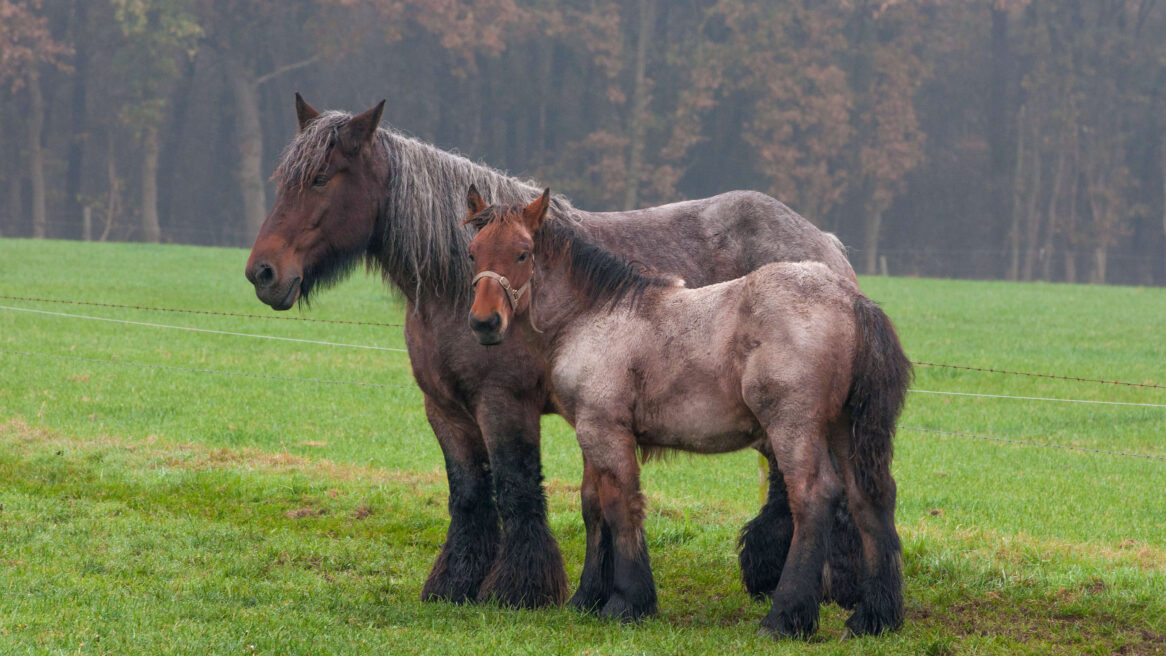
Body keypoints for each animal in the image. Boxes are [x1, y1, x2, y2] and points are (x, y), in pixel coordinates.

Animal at [246, 96, 867, 610]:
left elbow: (518, 489)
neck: (455, 288)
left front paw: (520, 589)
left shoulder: (504, 403)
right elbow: (468, 494)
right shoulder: (444, 408)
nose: (263, 273)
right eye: (285, 180)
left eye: (321, 178)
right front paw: (454, 584)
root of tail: (826, 248)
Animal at [464, 188, 909, 638]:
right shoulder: (591, 433)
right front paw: (586, 599)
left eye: (522, 253)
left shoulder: (605, 431)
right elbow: (594, 508)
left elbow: (621, 508)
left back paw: (784, 617)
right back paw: (874, 617)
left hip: (794, 427)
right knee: (871, 498)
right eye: (472, 252)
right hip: (844, 428)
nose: (484, 323)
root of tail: (851, 300)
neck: (596, 315)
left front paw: (627, 602)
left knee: (814, 496)